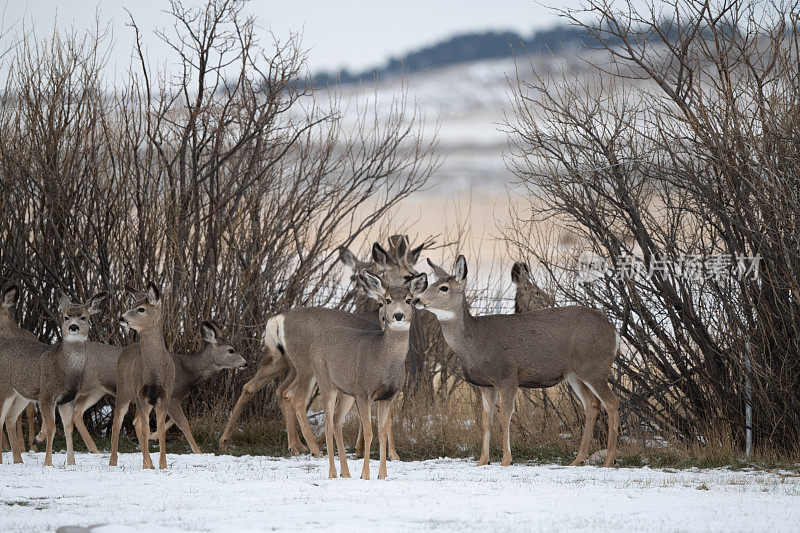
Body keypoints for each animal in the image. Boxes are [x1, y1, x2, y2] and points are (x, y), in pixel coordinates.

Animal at [0, 288, 107, 464]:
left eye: (83, 317)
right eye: (66, 317)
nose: (73, 327)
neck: (64, 370)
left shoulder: (67, 399)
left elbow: (68, 428)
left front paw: (71, 463)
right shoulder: (46, 396)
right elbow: (52, 428)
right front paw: (47, 463)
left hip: (21, 394)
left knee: (10, 418)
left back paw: (18, 460)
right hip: (5, 389)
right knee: (2, 418)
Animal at [108, 280, 174, 468]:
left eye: (141, 309)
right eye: (132, 305)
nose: (122, 318)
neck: (153, 371)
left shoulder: (164, 395)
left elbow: (160, 429)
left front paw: (162, 465)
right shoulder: (140, 393)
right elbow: (146, 429)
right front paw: (146, 466)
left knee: (136, 422)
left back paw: (150, 463)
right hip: (124, 391)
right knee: (118, 422)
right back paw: (113, 462)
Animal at [416, 256, 620, 468]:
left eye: (444, 288)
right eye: (431, 284)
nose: (416, 299)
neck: (474, 342)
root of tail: (614, 331)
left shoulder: (507, 377)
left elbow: (504, 417)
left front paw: (507, 459)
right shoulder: (486, 385)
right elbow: (486, 420)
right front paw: (483, 461)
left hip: (594, 366)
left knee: (612, 402)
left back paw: (609, 459)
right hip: (574, 374)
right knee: (592, 405)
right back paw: (578, 459)